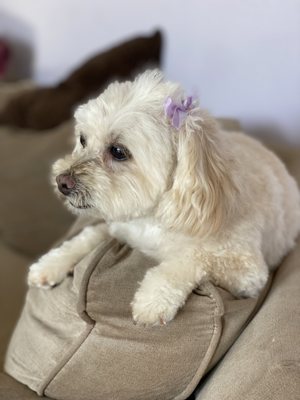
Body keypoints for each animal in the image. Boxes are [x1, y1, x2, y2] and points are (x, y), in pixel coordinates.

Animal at [28, 69, 300, 324]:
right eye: (83, 139)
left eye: (118, 151)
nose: (62, 181)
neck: (155, 217)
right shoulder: (120, 226)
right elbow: (89, 235)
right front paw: (51, 264)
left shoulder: (246, 273)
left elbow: (194, 258)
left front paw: (153, 298)